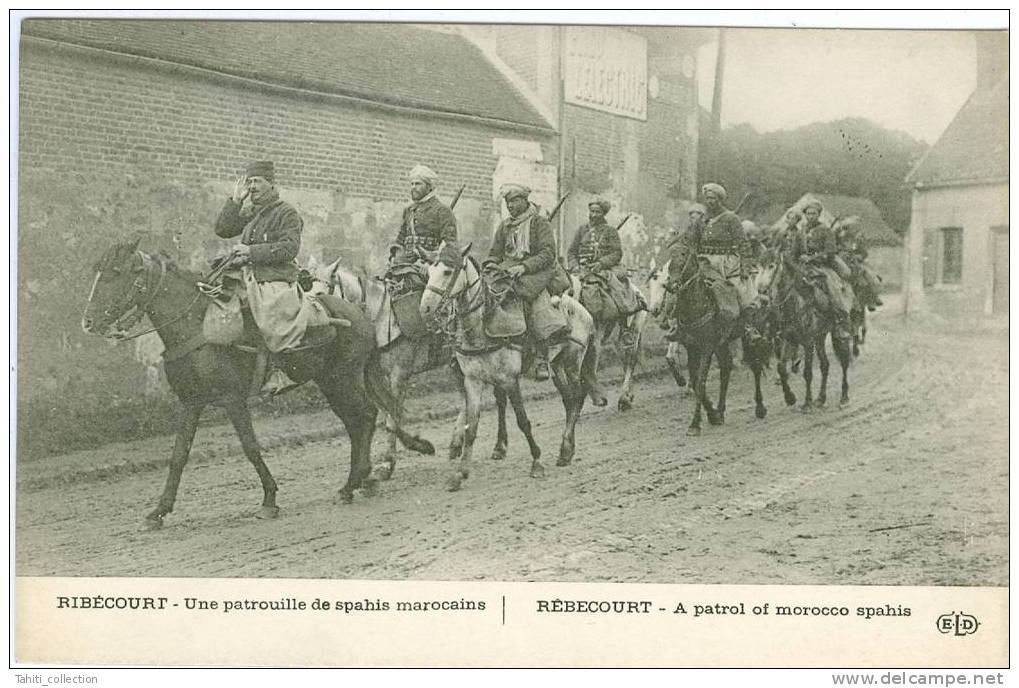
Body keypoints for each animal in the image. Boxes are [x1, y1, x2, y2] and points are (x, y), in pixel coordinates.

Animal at [301, 254, 446, 485]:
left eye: (320, 294)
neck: (380, 316)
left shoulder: (399, 374)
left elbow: (392, 418)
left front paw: (387, 465)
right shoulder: (373, 377)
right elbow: (387, 414)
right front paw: (418, 446)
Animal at [419, 244, 599, 493]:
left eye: (447, 272)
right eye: (428, 272)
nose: (425, 309)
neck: (483, 325)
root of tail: (583, 310)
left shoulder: (509, 379)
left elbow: (523, 421)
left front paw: (536, 462)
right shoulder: (473, 381)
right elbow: (471, 427)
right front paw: (460, 473)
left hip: (573, 361)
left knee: (579, 397)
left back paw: (564, 449)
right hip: (557, 365)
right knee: (569, 400)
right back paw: (567, 450)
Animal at [570, 271, 648, 411]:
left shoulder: (594, 342)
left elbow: (588, 370)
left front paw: (598, 399)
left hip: (634, 331)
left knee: (630, 361)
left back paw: (624, 399)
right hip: (619, 342)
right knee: (626, 362)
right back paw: (627, 397)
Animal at [770, 254, 851, 411]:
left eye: (772, 266)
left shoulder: (808, 342)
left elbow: (807, 372)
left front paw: (807, 403)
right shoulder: (788, 339)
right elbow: (781, 367)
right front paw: (790, 398)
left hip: (838, 335)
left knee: (844, 363)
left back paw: (844, 398)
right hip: (819, 338)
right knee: (825, 365)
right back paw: (820, 399)